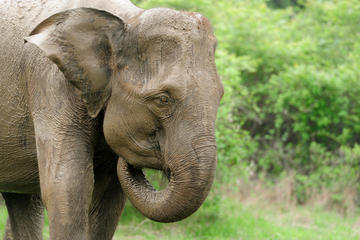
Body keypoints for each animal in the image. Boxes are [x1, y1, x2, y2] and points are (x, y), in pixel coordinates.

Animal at [0, 0, 224, 239]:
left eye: (220, 95)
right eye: (163, 99)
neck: (126, 19)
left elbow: (108, 199)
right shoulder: (50, 84)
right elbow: (67, 186)